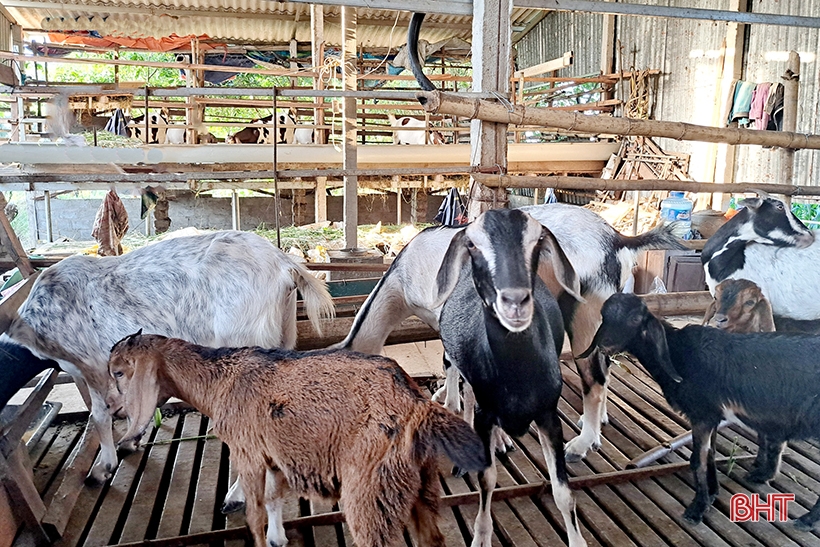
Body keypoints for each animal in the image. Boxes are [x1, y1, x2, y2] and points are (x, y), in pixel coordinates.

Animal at [5, 230, 334, 488]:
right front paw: (131, 439)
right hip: (283, 330)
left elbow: (98, 415)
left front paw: (102, 468)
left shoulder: (92, 364)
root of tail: (285, 264)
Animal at [109, 334, 490, 547]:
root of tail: (415, 405)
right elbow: (274, 498)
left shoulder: (248, 452)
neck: (220, 380)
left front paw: (262, 537)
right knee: (433, 539)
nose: (114, 410)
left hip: (369, 490)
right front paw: (278, 539)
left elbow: (255, 514)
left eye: (118, 371)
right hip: (422, 487)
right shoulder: (277, 454)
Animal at [336, 204, 684, 462]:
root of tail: (616, 239)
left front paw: (494, 437)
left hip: (584, 310)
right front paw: (446, 398)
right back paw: (597, 424)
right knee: (606, 365)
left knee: (594, 378)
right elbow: (451, 364)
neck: (404, 276)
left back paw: (581, 445)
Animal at [436, 210, 588, 547]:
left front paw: (578, 540)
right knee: (456, 391)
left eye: (538, 240)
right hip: (451, 358)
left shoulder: (548, 414)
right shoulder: (486, 412)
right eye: (472, 243)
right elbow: (487, 479)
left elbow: (563, 491)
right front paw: (481, 536)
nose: (515, 301)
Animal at [580, 296, 820, 532]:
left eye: (636, 319)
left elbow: (697, 460)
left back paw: (806, 520)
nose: (604, 344)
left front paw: (697, 509)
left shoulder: (702, 416)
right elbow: (710, 454)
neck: (679, 354)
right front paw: (712, 493)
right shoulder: (712, 416)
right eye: (604, 316)